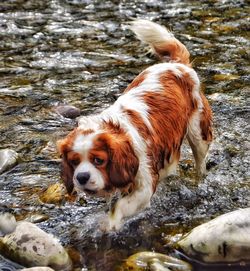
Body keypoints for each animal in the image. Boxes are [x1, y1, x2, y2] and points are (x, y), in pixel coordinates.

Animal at [57, 19, 213, 232]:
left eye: (98, 160)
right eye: (74, 162)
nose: (81, 177)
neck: (116, 130)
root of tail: (177, 65)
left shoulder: (144, 182)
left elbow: (122, 206)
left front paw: (109, 223)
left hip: (198, 131)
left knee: (200, 160)